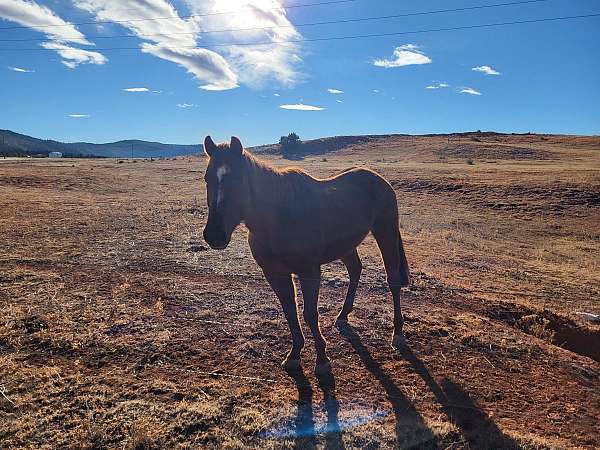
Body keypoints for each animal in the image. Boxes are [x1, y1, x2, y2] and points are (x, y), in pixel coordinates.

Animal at [204, 135, 410, 374]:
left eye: (237, 180)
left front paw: (322, 359)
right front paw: (294, 355)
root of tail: (378, 179)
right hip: (346, 245)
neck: (278, 217)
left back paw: (397, 333)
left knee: (393, 281)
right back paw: (343, 315)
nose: (214, 235)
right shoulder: (275, 274)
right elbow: (290, 312)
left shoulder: (309, 272)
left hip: (385, 232)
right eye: (207, 178)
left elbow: (310, 314)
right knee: (355, 270)